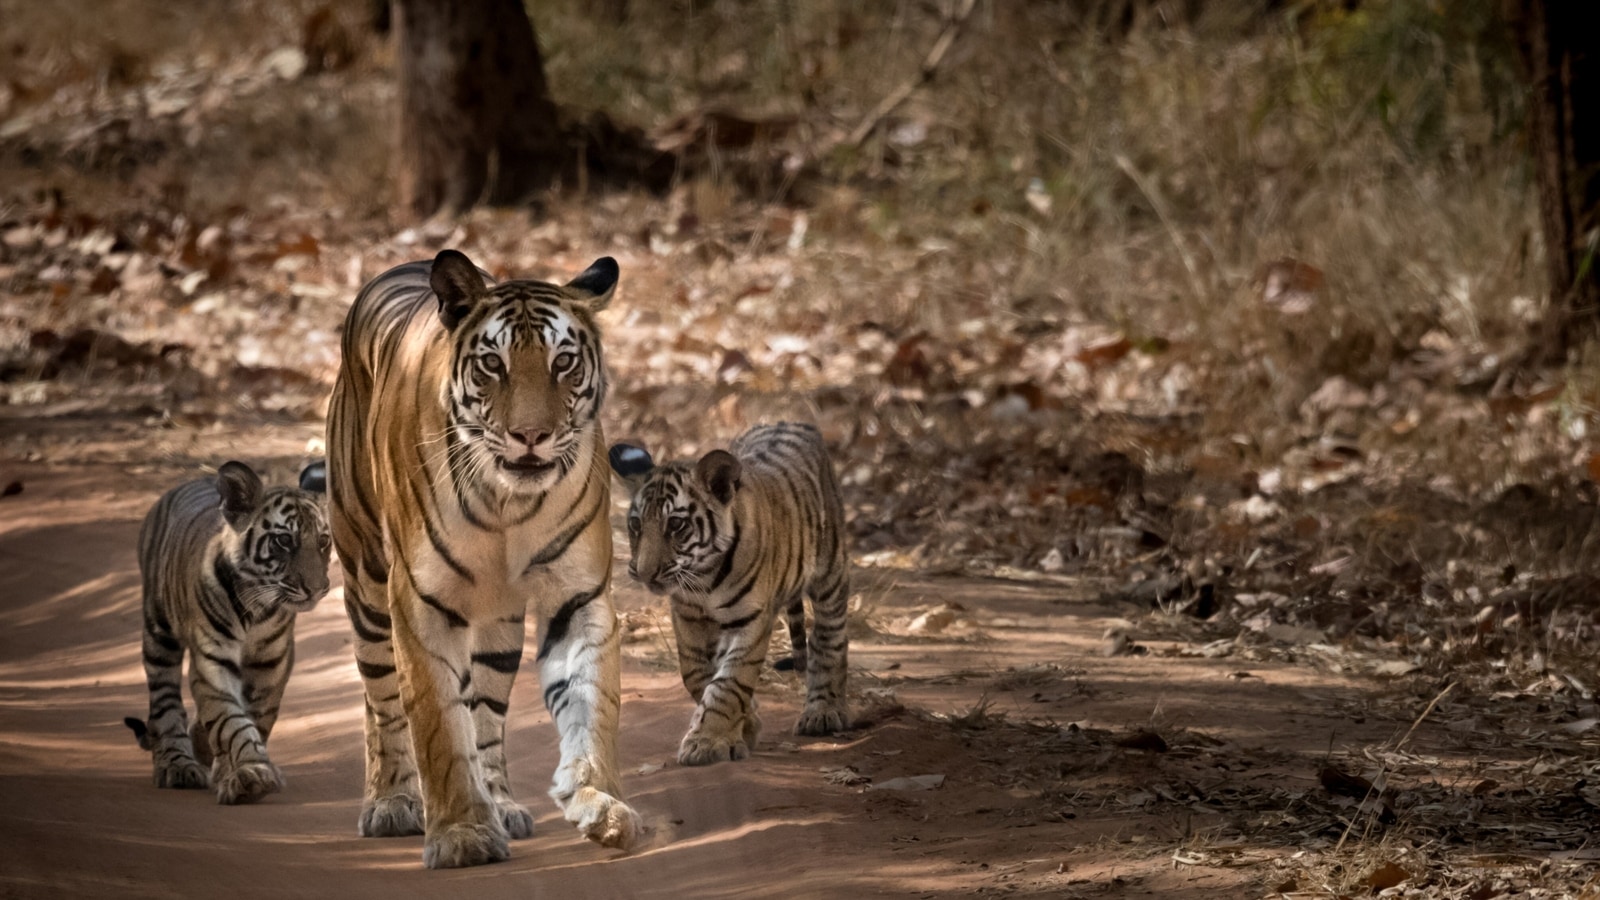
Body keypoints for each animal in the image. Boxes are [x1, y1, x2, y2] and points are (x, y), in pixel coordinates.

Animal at [125, 458, 331, 800]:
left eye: (324, 541)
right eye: (284, 541)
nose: (316, 589)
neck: (258, 609)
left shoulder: (270, 666)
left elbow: (255, 718)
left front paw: (234, 770)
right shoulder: (213, 663)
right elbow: (232, 720)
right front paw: (252, 773)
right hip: (158, 635)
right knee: (165, 706)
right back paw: (177, 765)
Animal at [328, 248, 640, 864]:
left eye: (563, 362)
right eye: (493, 364)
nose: (531, 436)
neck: (507, 505)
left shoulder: (579, 598)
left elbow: (591, 706)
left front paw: (600, 804)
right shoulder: (418, 604)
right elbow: (439, 725)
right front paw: (462, 834)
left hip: (498, 623)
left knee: (487, 715)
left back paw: (502, 803)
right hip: (366, 584)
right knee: (382, 703)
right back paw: (390, 802)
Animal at [604, 419, 851, 762]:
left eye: (676, 525)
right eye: (636, 525)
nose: (643, 572)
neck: (704, 578)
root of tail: (789, 421)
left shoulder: (751, 621)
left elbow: (729, 684)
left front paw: (706, 743)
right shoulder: (688, 617)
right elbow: (697, 675)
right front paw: (745, 725)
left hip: (831, 573)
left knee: (828, 638)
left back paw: (823, 712)